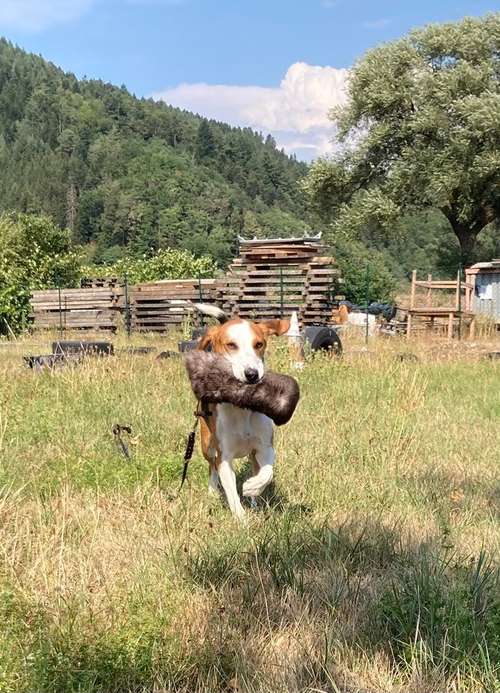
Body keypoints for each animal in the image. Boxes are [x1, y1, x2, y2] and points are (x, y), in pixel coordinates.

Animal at [195, 314, 290, 520]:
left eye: (259, 344)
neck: (242, 407)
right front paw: (241, 520)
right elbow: (231, 493)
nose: (252, 374)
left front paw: (253, 487)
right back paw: (212, 492)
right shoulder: (224, 457)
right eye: (231, 345)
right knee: (211, 466)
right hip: (206, 444)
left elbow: (267, 472)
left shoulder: (264, 447)